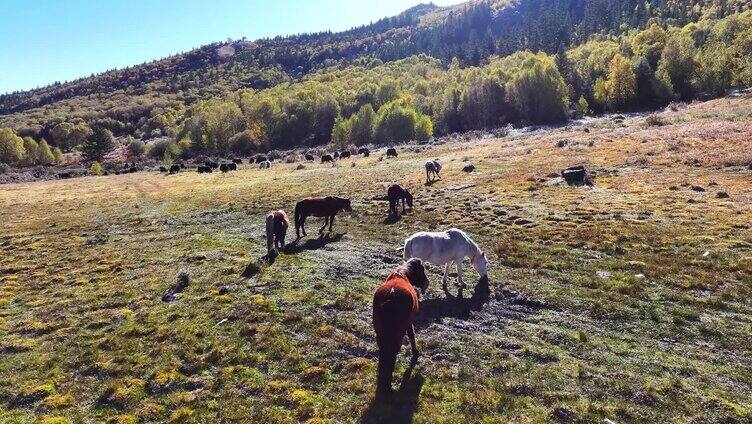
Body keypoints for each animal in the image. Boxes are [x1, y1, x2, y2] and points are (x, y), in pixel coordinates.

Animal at [372, 258, 428, 398]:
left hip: (380, 332)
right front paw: (415, 353)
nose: (426, 283)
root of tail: (391, 295)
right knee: (391, 355)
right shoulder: (409, 322)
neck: (402, 274)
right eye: (422, 270)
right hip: (397, 333)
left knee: (384, 354)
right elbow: (412, 335)